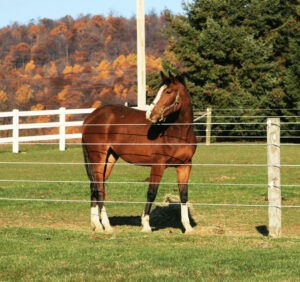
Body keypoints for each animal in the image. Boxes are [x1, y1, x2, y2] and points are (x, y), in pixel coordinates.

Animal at [82, 71, 197, 232]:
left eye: (168, 92)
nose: (150, 115)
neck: (178, 133)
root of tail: (90, 118)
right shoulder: (158, 165)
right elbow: (151, 192)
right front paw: (146, 225)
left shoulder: (185, 166)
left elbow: (184, 194)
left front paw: (187, 227)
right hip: (98, 157)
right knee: (98, 188)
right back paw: (105, 225)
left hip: (109, 159)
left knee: (96, 186)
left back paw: (97, 225)